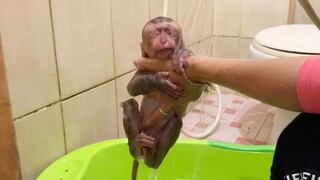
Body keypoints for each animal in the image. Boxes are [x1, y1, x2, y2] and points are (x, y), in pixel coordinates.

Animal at [121, 16, 209, 180]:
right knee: (130, 104)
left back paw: (152, 158)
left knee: (176, 121)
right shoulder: (143, 66)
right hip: (141, 128)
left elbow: (196, 93)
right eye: (156, 33)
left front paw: (182, 54)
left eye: (168, 32)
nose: (163, 40)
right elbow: (131, 87)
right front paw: (158, 82)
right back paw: (135, 146)